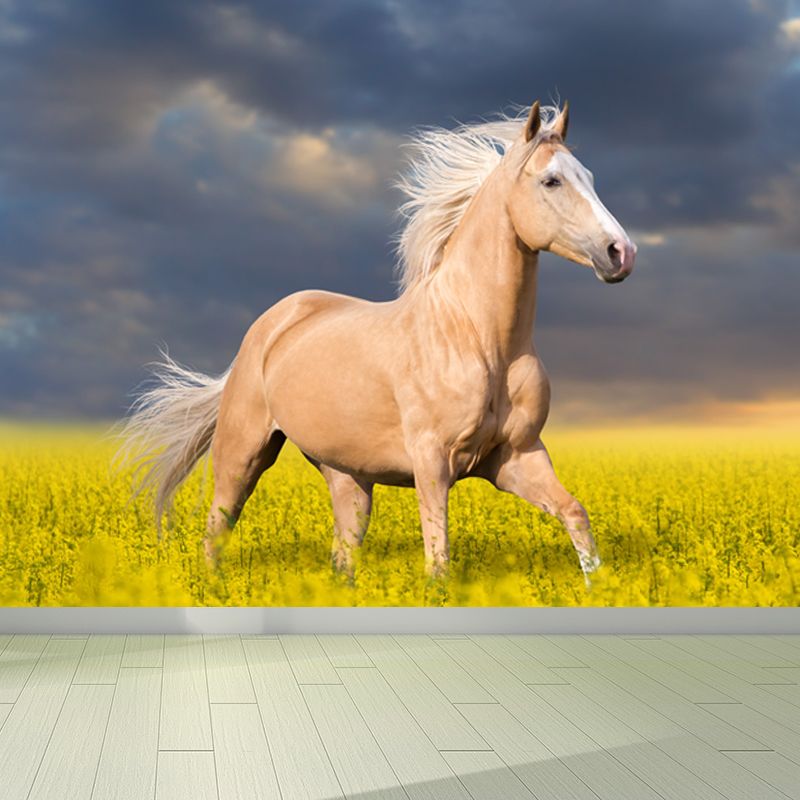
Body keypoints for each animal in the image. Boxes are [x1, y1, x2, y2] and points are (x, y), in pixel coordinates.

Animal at [121, 100, 636, 582]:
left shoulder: (517, 457)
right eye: (551, 181)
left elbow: (575, 514)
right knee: (217, 530)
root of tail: (270, 325)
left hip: (348, 477)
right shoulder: (433, 462)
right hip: (242, 453)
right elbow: (438, 559)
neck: (480, 340)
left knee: (342, 554)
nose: (621, 253)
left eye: (589, 177)